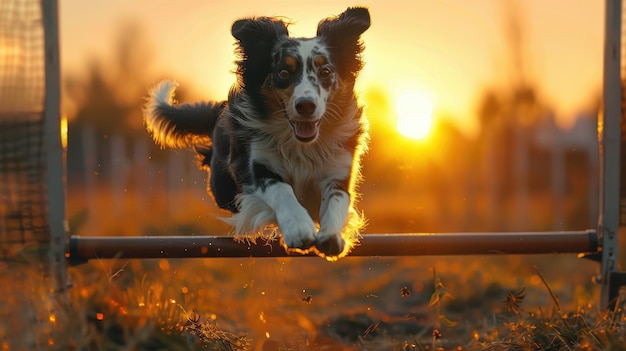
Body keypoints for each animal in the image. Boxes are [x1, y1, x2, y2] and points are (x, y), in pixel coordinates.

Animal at [143, 6, 368, 260]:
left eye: (326, 71)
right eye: (283, 73)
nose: (306, 105)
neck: (301, 145)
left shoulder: (338, 171)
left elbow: (337, 201)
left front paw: (331, 236)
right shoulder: (257, 166)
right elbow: (282, 190)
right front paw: (298, 228)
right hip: (222, 188)